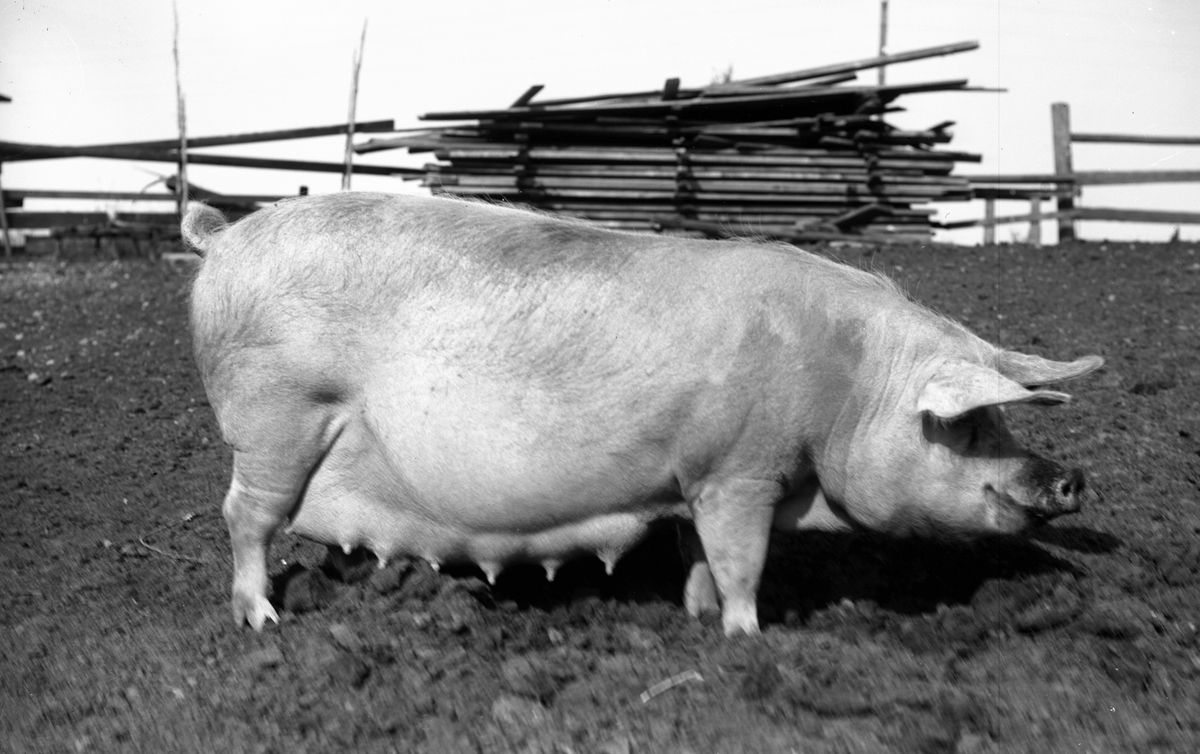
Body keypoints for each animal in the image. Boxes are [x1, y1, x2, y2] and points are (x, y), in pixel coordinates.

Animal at [182, 192, 1102, 636]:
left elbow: (698, 555)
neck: (849, 387)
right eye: (968, 425)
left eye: (1003, 420)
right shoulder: (740, 469)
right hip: (276, 416)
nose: (1073, 478)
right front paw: (747, 638)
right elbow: (742, 561)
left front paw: (695, 618)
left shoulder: (693, 476)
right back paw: (262, 621)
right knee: (245, 515)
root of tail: (222, 237)